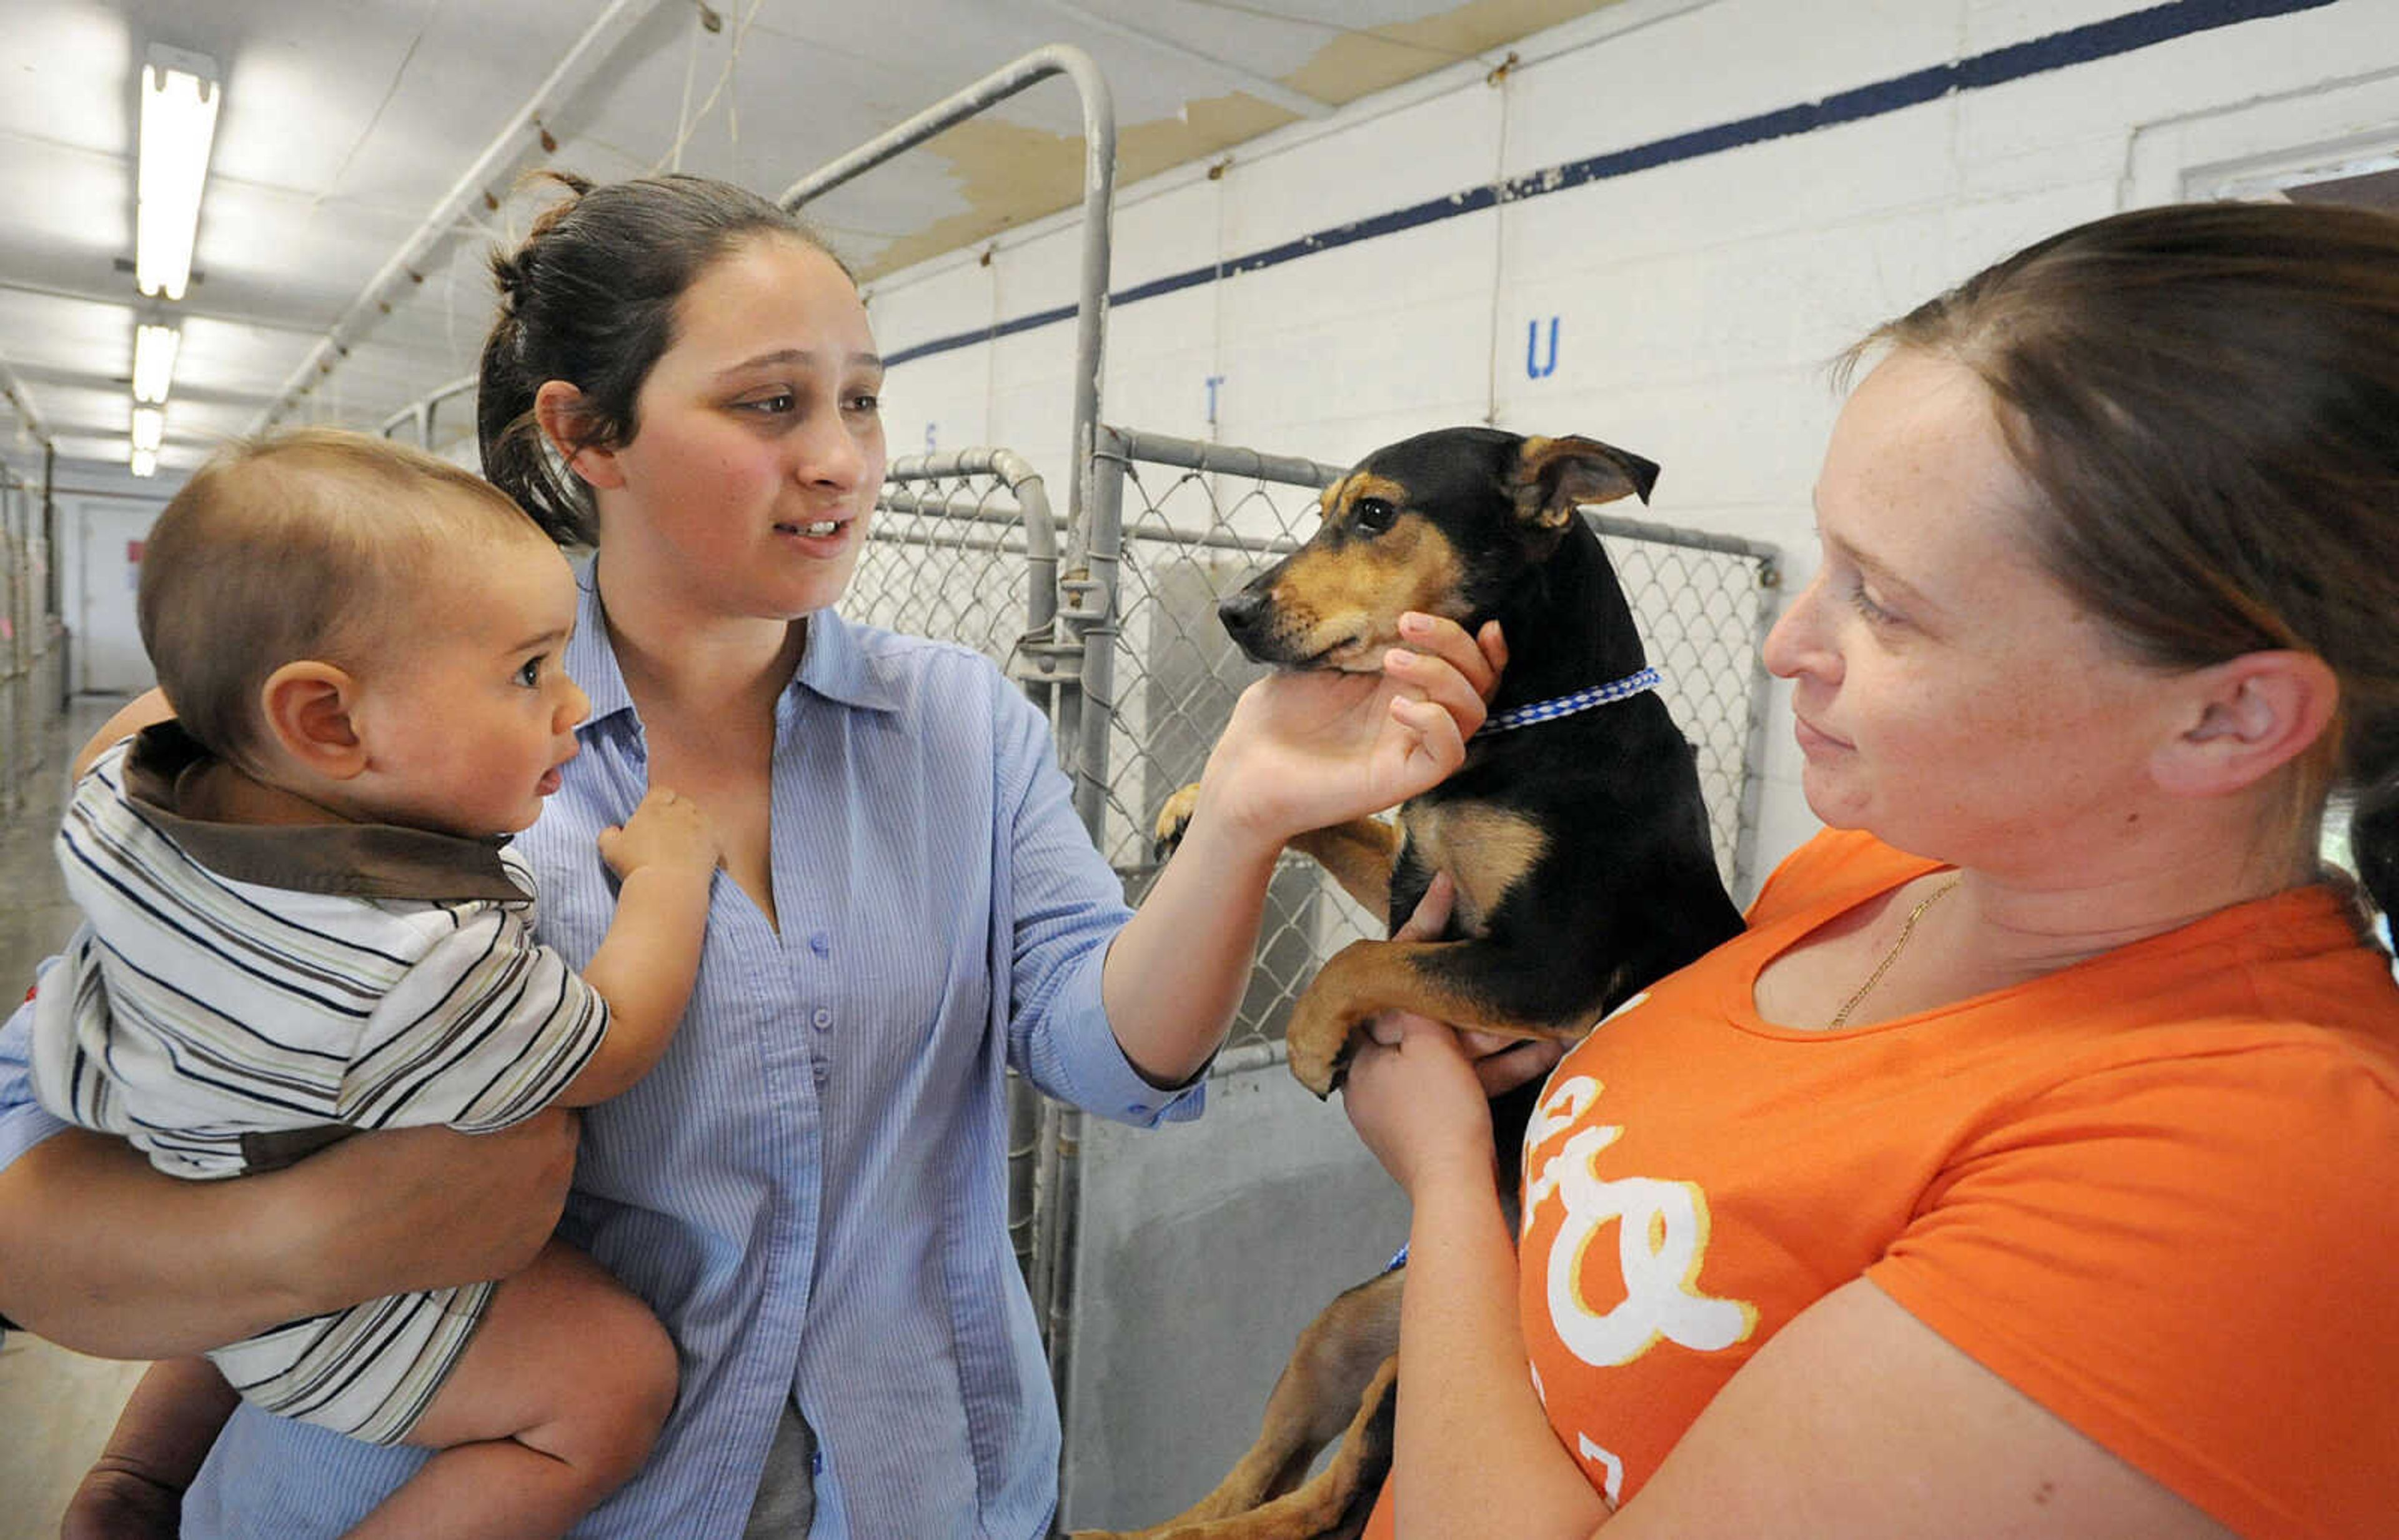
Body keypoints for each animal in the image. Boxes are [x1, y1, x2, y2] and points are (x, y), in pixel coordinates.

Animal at [1089, 427, 1746, 1535]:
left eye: (1375, 515)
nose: (1234, 613)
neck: (1531, 726)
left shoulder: (1544, 964)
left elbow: (1363, 959)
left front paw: (1309, 1040)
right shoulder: (1412, 868)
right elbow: (1347, 823)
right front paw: (1195, 799)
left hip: (1410, 1377)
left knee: (1323, 1500)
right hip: (1340, 1327)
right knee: (1264, 1475)